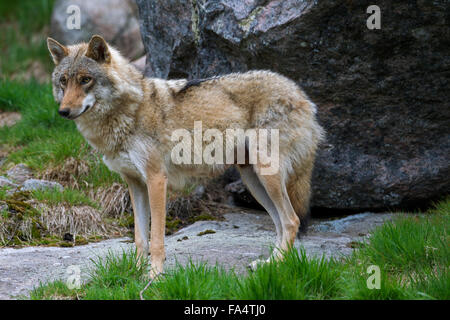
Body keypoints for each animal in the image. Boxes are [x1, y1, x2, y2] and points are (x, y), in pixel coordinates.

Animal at [48, 35, 324, 278]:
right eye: (63, 81)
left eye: (85, 80)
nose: (63, 111)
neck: (128, 113)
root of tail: (302, 94)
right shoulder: (135, 184)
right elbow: (140, 237)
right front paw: (135, 272)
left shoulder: (156, 180)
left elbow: (156, 239)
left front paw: (153, 276)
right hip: (255, 182)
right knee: (280, 223)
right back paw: (269, 265)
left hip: (268, 177)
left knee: (292, 220)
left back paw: (276, 265)